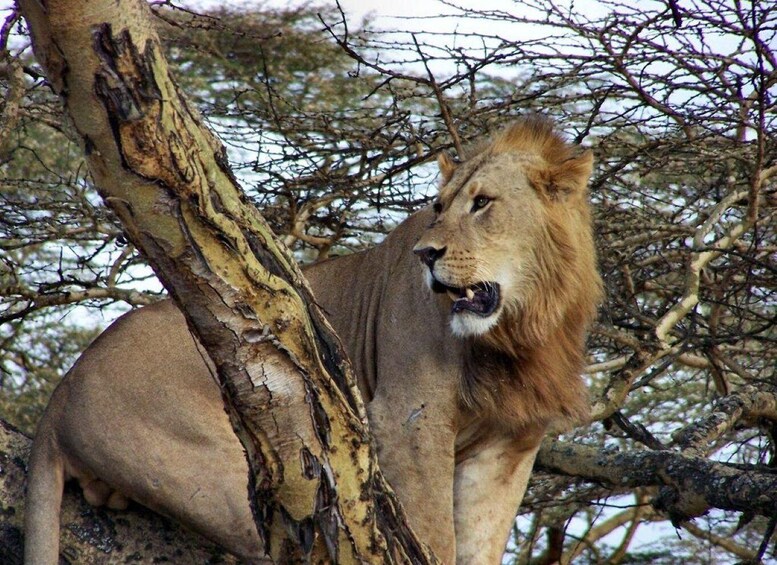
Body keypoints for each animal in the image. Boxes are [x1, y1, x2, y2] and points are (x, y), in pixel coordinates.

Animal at [24, 115, 601, 564]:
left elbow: (481, 539)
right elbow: (434, 530)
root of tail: (60, 392)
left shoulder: (509, 444)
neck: (522, 330)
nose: (425, 254)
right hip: (251, 472)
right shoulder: (409, 416)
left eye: (483, 203)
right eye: (439, 207)